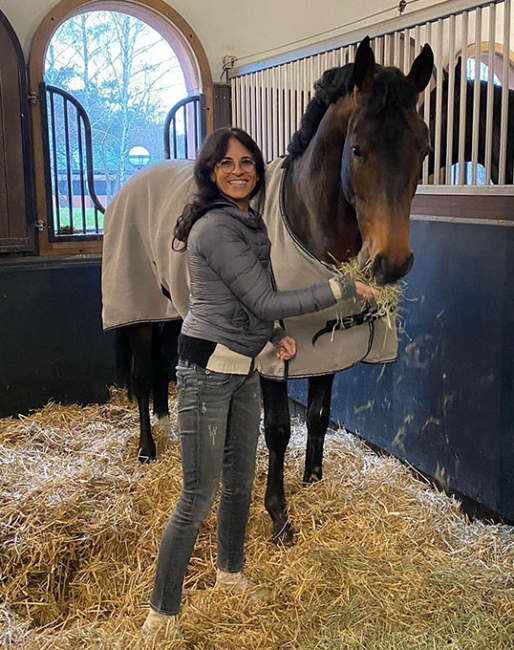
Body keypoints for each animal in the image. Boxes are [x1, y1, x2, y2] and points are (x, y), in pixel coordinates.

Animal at [101, 35, 432, 540]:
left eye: (425, 150)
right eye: (357, 149)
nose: (391, 261)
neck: (303, 220)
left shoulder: (326, 351)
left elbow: (317, 416)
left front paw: (313, 479)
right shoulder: (278, 356)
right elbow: (277, 430)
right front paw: (278, 514)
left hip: (175, 308)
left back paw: (167, 421)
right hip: (136, 310)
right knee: (140, 376)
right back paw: (147, 448)